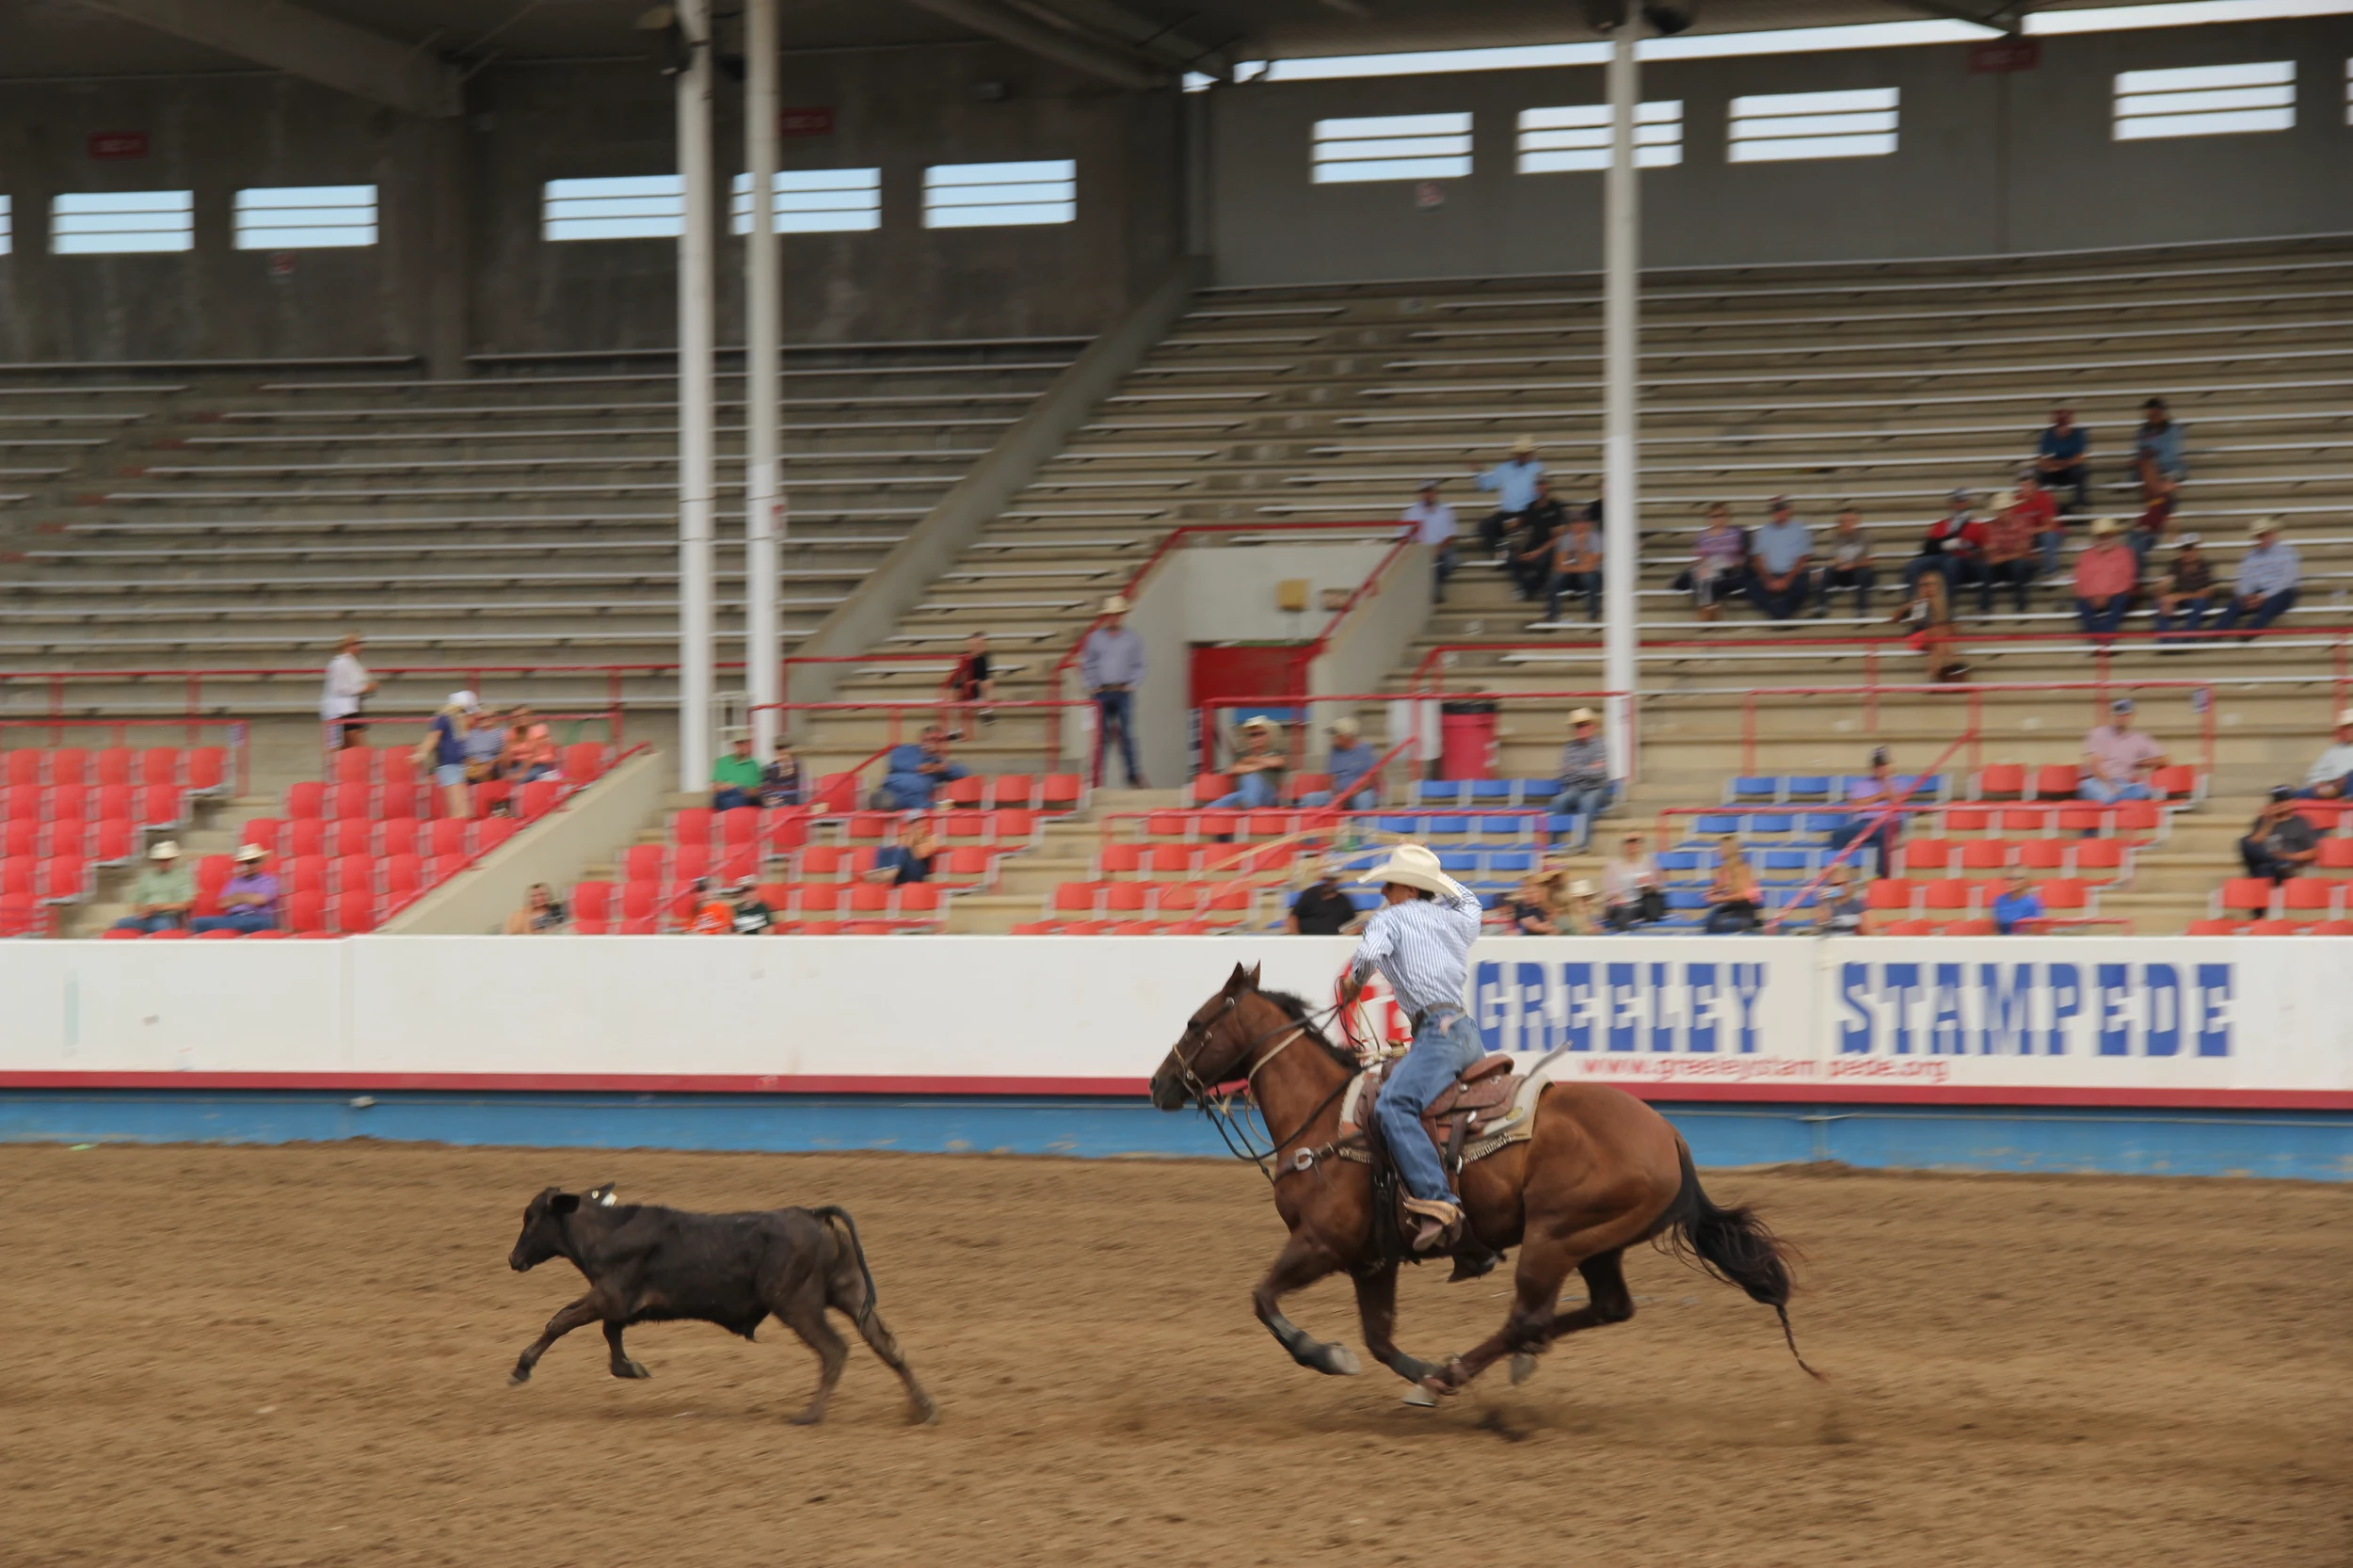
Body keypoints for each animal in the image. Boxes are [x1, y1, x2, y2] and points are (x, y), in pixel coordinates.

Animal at [1144, 965, 1817, 1393]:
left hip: (1552, 1237)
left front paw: (1328, 1355)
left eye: (1197, 1023)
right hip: (1594, 1242)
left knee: (1529, 1316)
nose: (1158, 1084)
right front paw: (1408, 1367)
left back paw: (1458, 1374)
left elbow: (1264, 1299)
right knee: (1604, 1308)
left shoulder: (1321, 1243)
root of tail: (1671, 1139)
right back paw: (1491, 1366)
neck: (1325, 1120)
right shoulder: (1371, 1259)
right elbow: (1379, 1339)